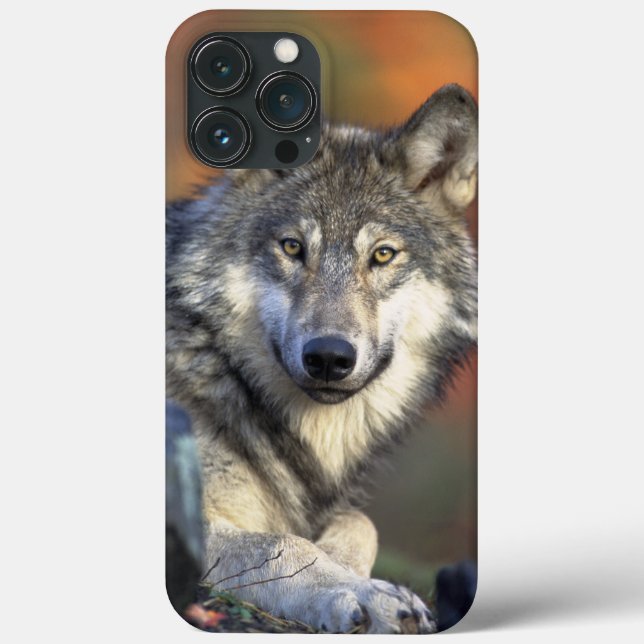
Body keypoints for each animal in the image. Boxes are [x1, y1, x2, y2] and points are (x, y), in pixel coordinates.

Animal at [166, 84, 478, 634]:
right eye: (293, 247)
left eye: (382, 255)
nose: (329, 357)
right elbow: (280, 544)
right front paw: (363, 593)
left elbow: (361, 521)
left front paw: (347, 567)